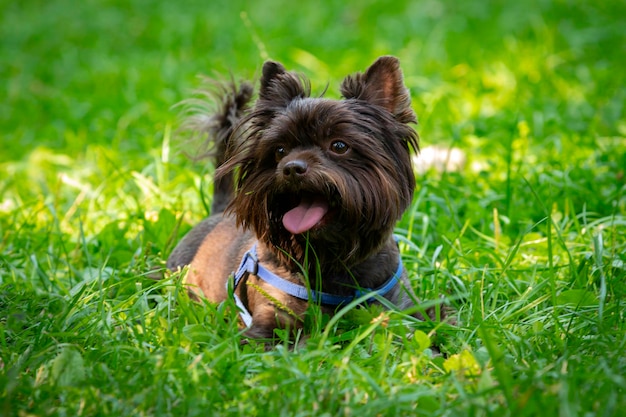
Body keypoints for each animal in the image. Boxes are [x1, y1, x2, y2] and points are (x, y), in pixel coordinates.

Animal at [167, 56, 444, 338]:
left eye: (339, 145)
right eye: (280, 150)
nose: (291, 167)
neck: (330, 260)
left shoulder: (403, 308)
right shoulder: (270, 324)